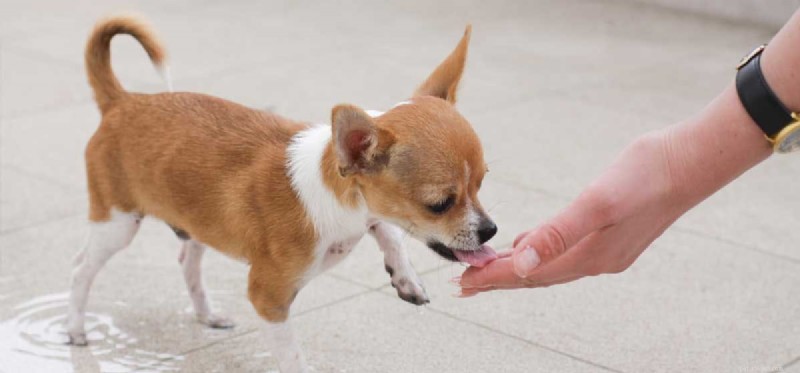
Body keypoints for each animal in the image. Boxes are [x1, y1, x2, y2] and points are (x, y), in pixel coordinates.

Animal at [65, 15, 496, 372]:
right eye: (438, 204)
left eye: (481, 183)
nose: (490, 230)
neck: (339, 208)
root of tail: (123, 101)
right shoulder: (268, 299)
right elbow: (292, 357)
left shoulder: (369, 216)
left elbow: (388, 230)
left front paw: (405, 276)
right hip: (118, 222)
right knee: (81, 268)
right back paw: (75, 328)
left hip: (195, 219)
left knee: (187, 260)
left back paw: (207, 314)